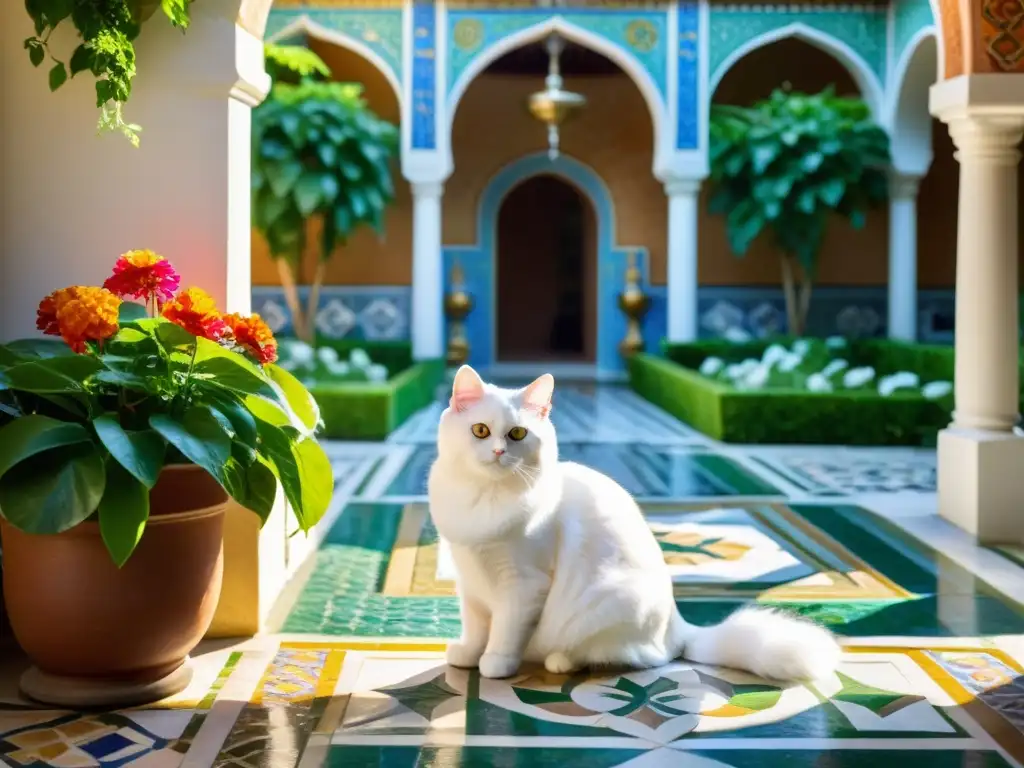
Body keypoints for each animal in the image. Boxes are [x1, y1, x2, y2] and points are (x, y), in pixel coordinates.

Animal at [428, 370, 843, 684]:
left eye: (517, 434)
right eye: (481, 431)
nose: (499, 452)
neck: (484, 499)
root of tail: (680, 629)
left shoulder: (522, 586)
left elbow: (504, 631)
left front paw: (496, 663)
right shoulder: (470, 582)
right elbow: (475, 627)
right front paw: (467, 654)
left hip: (606, 605)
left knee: (629, 657)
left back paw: (560, 660)